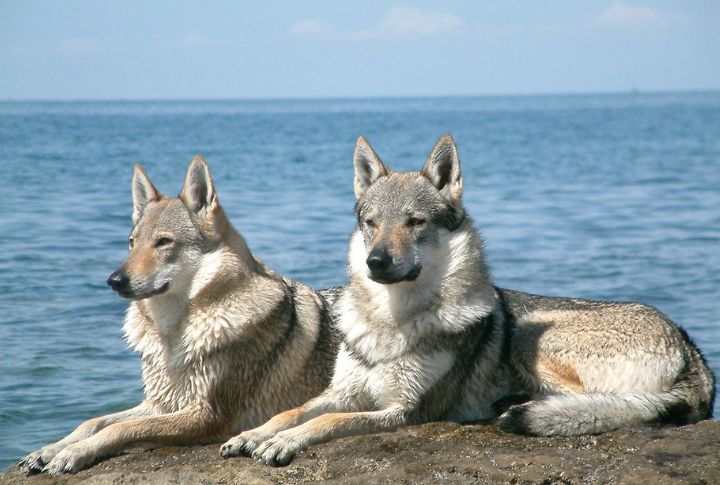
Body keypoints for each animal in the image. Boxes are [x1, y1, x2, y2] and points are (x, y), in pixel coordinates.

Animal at [17, 156, 339, 475]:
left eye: (163, 242)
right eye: (132, 242)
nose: (114, 280)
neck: (172, 334)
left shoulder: (206, 415)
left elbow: (119, 428)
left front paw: (73, 453)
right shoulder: (162, 402)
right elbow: (93, 421)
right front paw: (49, 450)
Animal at [220, 134, 715, 466]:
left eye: (415, 222)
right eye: (370, 223)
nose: (376, 262)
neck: (392, 321)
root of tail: (693, 351)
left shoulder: (403, 410)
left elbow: (327, 423)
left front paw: (281, 443)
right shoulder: (342, 391)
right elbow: (293, 410)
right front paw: (253, 434)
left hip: (532, 340)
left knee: (610, 404)